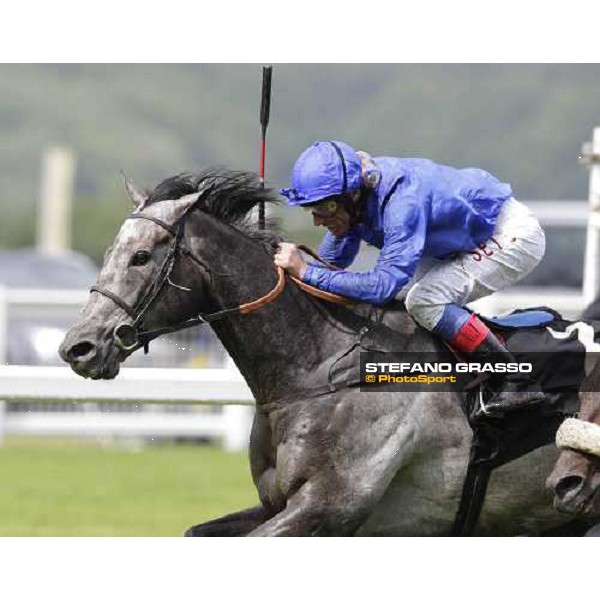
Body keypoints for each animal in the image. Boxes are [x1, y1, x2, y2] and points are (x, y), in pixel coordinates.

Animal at [59, 168, 596, 536]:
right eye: (109, 252)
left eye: (141, 256)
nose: (77, 347)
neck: (320, 367)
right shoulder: (278, 505)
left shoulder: (327, 508)